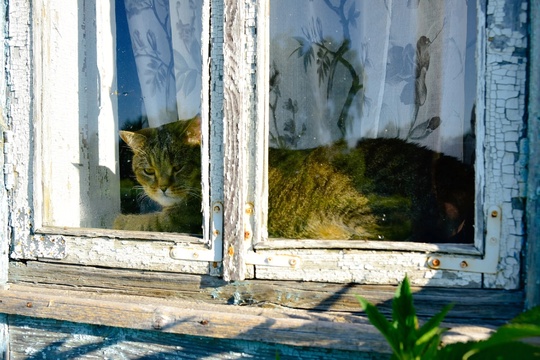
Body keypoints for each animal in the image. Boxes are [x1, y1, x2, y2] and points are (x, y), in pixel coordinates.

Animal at [115, 116, 472, 243]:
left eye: (177, 167)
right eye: (148, 169)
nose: (161, 186)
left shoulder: (180, 219)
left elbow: (140, 222)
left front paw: (118, 218)